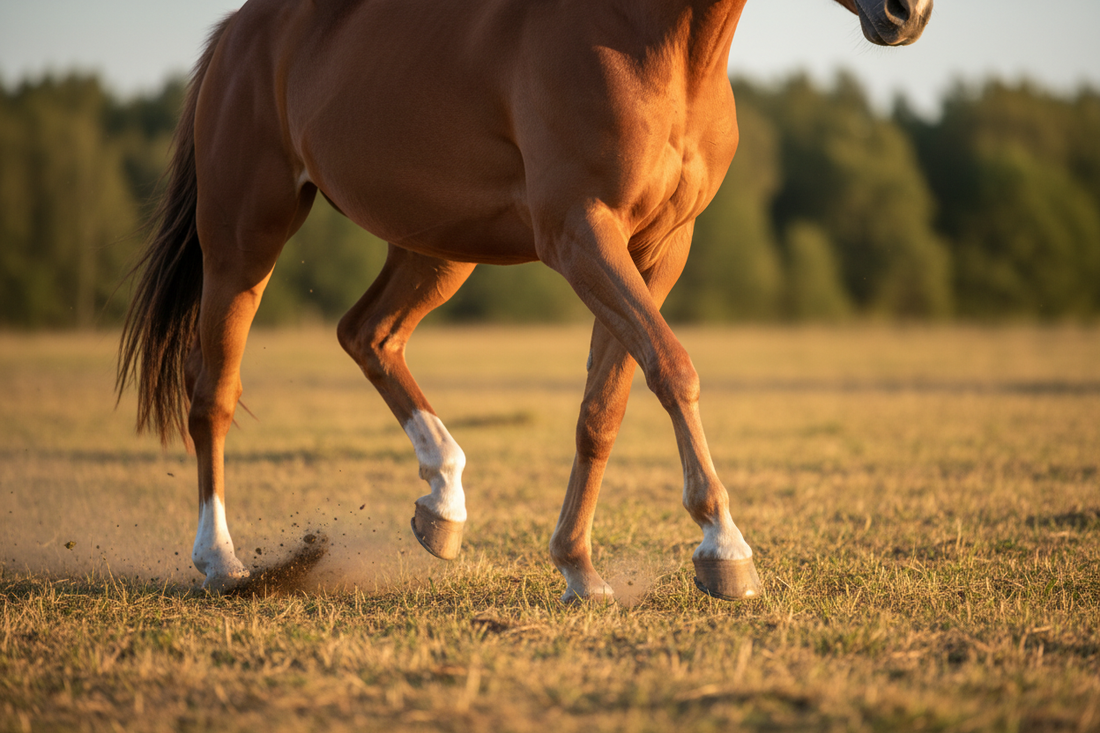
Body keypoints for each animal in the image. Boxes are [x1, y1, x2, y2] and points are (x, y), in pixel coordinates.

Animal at [117, 0, 931, 600]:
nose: (908, 11)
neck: (645, 39)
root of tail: (238, 33)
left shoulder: (658, 251)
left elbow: (605, 405)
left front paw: (578, 565)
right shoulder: (581, 232)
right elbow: (673, 368)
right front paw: (723, 547)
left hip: (438, 249)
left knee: (367, 333)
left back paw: (442, 501)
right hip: (243, 240)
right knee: (213, 392)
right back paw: (221, 561)